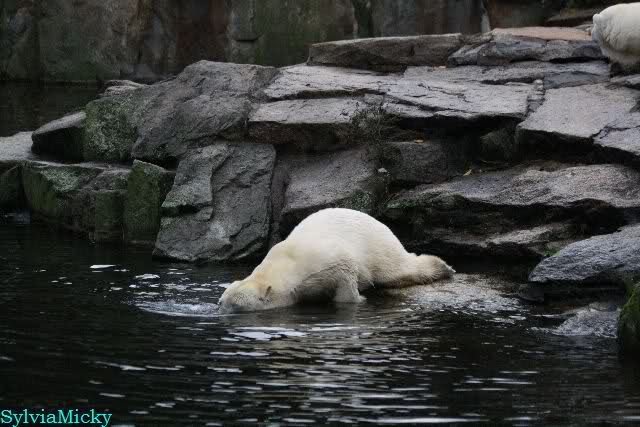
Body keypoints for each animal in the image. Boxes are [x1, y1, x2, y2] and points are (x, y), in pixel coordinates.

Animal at [218, 208, 455, 313]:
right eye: (221, 302)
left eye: (236, 306)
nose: (219, 311)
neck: (286, 262)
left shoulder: (323, 262)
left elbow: (346, 272)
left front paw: (358, 300)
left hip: (378, 244)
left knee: (396, 269)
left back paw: (444, 267)